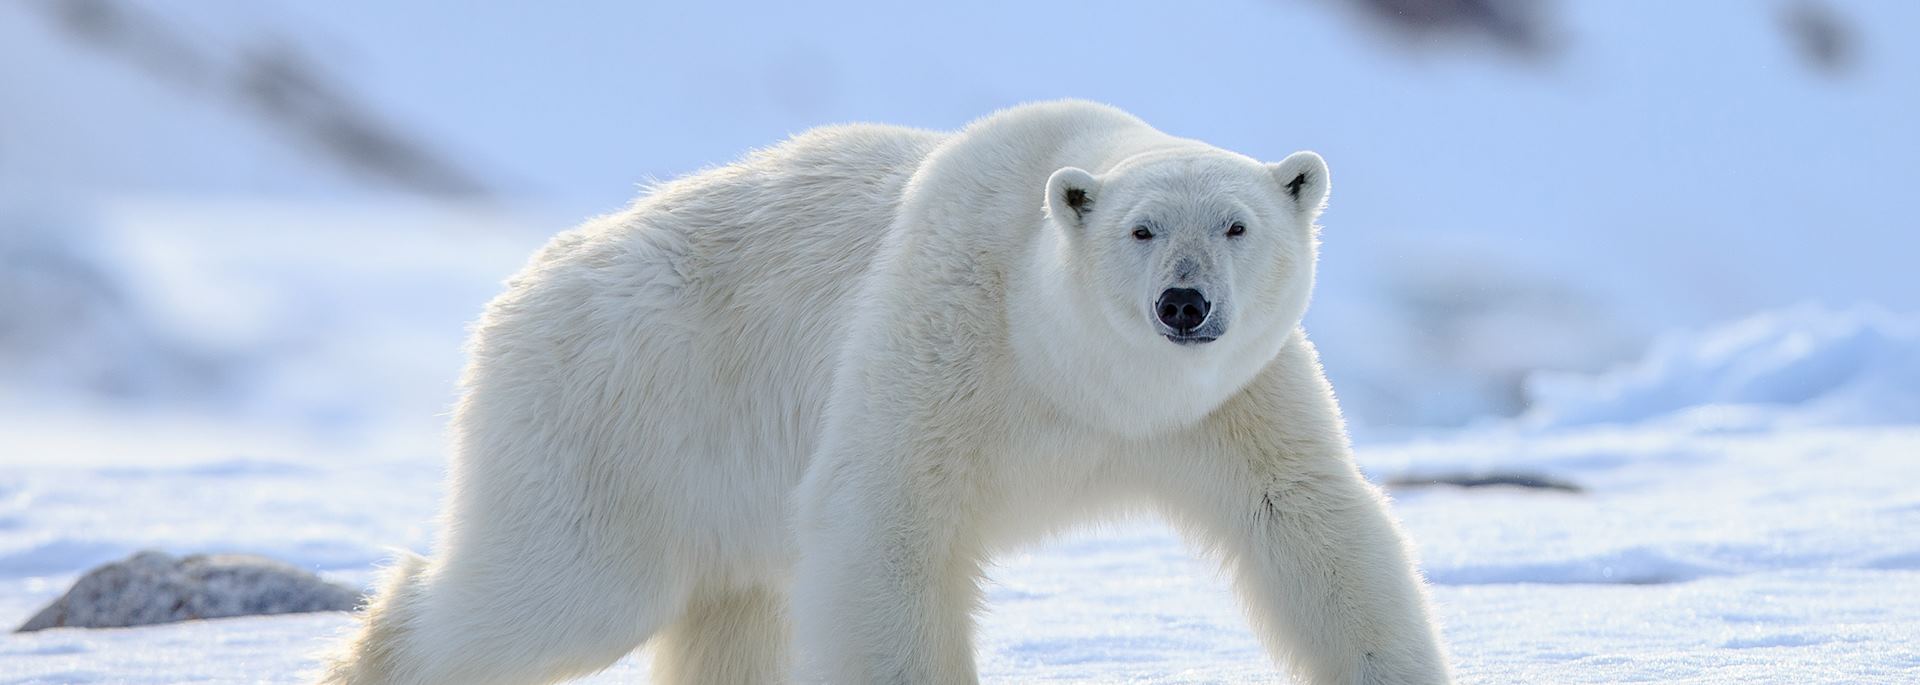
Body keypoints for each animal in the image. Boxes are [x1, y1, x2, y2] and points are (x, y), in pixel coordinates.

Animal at [322, 98, 1443, 679]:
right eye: (1143, 228)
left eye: (1237, 224)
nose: (1184, 303)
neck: (1081, 379)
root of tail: (522, 289)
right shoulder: (942, 340)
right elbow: (886, 532)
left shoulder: (1230, 402)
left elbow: (1308, 524)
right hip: (619, 418)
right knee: (561, 589)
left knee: (731, 613)